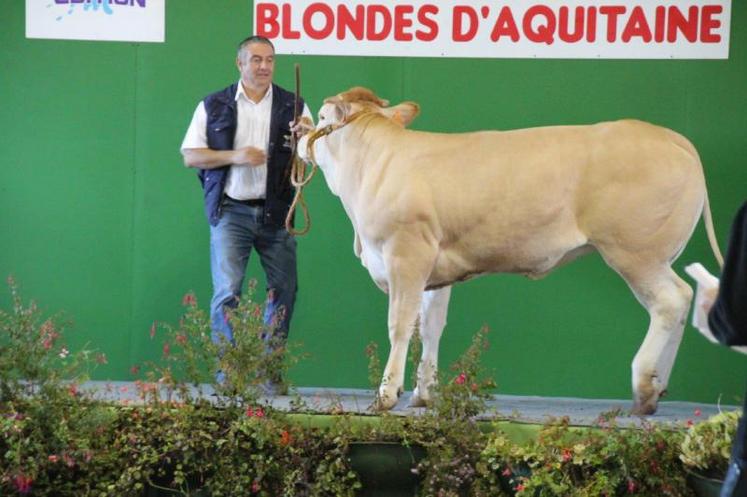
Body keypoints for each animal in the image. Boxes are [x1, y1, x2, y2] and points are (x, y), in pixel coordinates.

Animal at [298, 87, 724, 412]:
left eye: (321, 116)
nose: (298, 134)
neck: (372, 167)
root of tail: (671, 137)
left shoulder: (407, 254)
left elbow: (400, 324)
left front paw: (387, 394)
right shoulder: (435, 267)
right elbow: (432, 326)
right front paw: (424, 393)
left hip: (635, 252)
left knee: (669, 300)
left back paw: (644, 386)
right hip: (655, 255)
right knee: (683, 300)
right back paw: (657, 387)